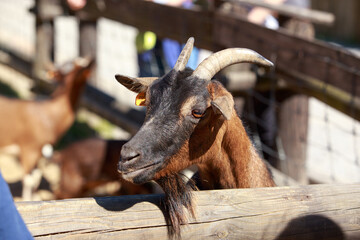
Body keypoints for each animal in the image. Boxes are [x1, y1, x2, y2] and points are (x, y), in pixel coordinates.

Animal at [0, 58, 94, 201]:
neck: (49, 115)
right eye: (73, 66)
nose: (89, 61)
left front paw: (35, 198)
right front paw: (28, 200)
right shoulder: (28, 150)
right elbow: (28, 179)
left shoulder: (40, 154)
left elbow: (37, 177)